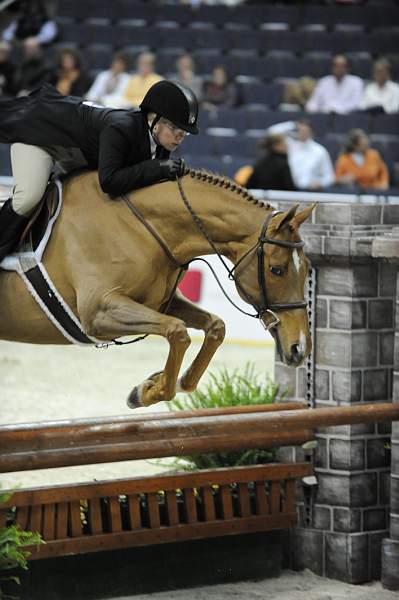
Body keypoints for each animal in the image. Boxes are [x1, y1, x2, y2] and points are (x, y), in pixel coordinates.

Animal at [0, 171, 318, 410]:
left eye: (306, 268)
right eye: (277, 270)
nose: (300, 348)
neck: (139, 227)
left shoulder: (161, 303)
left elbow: (215, 327)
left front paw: (164, 381)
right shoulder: (99, 312)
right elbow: (177, 332)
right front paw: (147, 391)